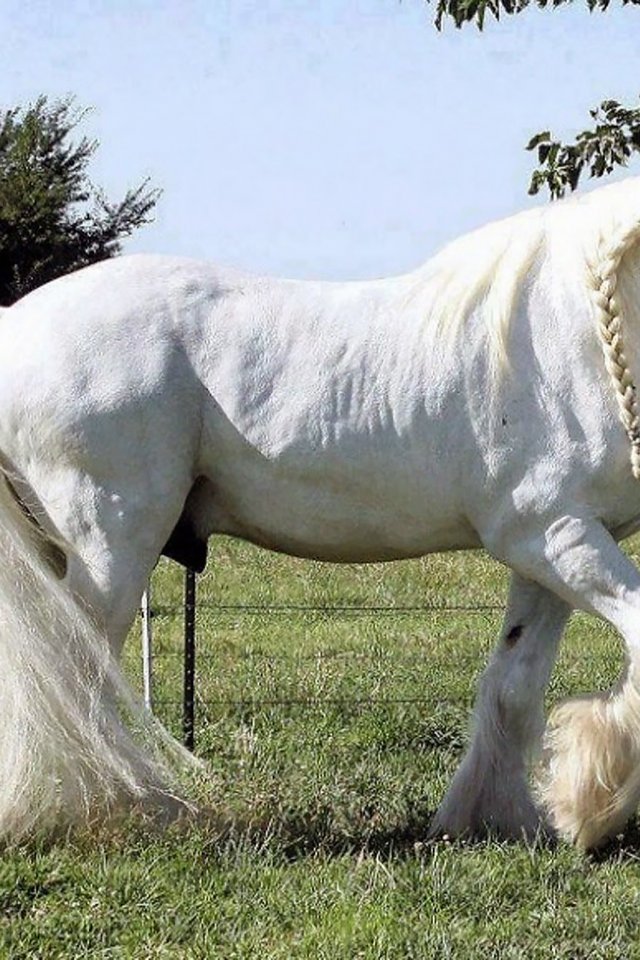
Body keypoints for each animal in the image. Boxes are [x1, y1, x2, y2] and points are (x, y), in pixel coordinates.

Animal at [2, 174, 640, 848]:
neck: (571, 332)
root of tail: (15, 325)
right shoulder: (555, 535)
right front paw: (593, 809)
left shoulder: (549, 550)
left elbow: (513, 685)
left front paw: (517, 817)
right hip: (110, 542)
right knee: (75, 676)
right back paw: (118, 808)